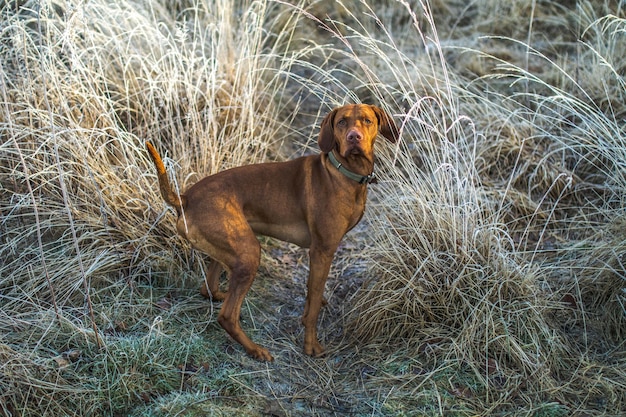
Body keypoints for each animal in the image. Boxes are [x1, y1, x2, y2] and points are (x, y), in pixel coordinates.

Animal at [146, 102, 398, 360]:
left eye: (367, 121)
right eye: (342, 122)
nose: (353, 137)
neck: (343, 172)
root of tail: (185, 199)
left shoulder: (317, 255)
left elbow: (311, 293)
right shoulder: (323, 250)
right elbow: (314, 303)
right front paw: (310, 345)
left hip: (228, 248)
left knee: (208, 288)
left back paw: (222, 296)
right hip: (249, 253)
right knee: (227, 316)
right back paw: (255, 349)